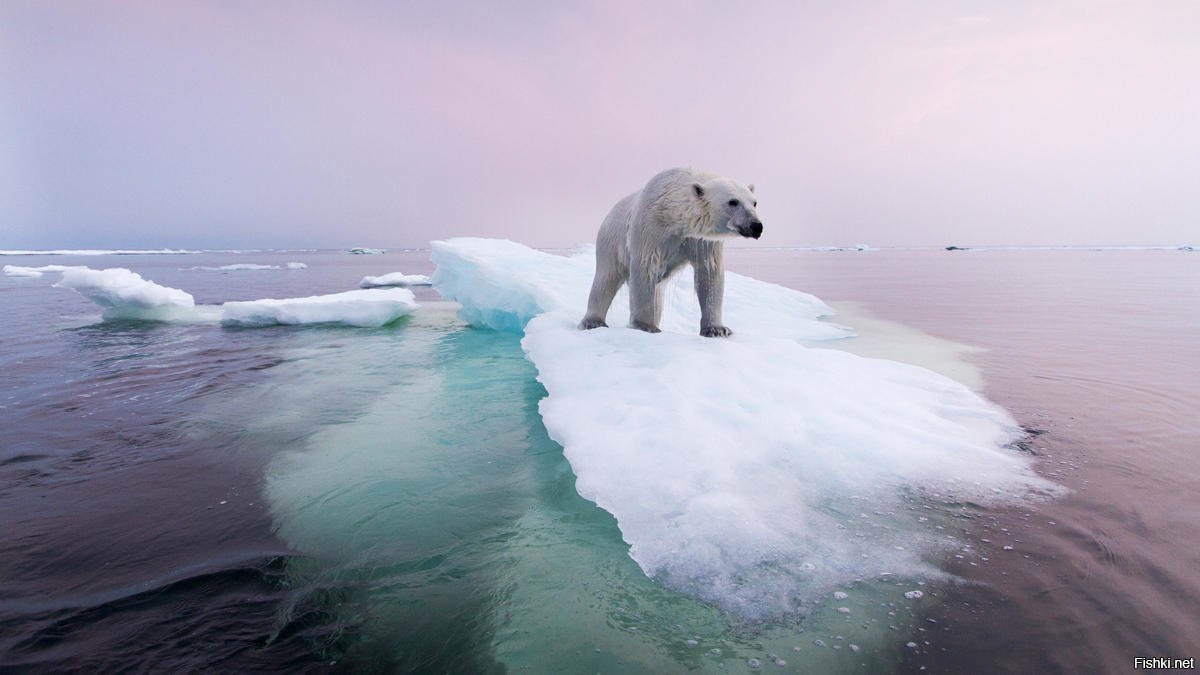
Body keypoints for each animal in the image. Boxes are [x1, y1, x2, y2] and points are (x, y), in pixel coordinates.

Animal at [578, 166, 763, 333]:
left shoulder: (701, 240)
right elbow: (645, 267)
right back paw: (593, 321)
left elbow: (709, 272)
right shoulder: (650, 229)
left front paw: (717, 329)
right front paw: (645, 326)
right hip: (611, 241)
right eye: (733, 202)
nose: (756, 226)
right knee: (606, 278)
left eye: (754, 202)